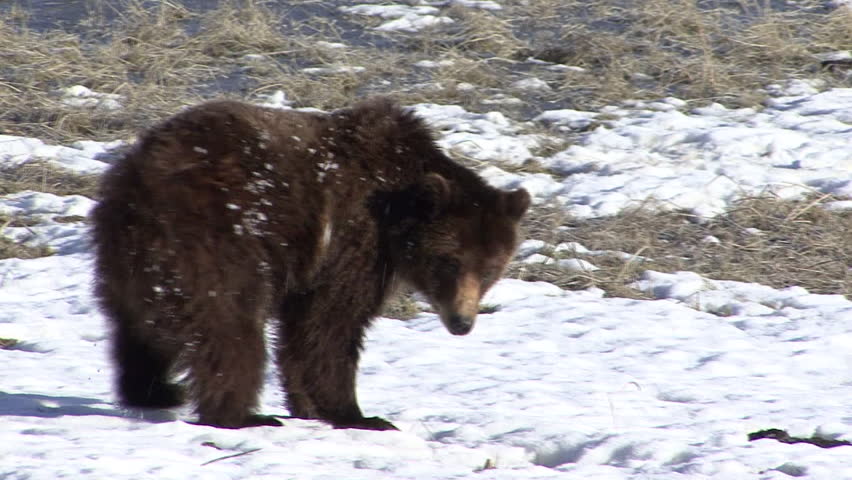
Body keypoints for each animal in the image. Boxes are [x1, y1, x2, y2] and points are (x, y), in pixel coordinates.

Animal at [91, 97, 530, 430]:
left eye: (489, 269)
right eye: (449, 262)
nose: (462, 322)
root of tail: (140, 182)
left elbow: (304, 329)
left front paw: (308, 406)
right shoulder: (354, 241)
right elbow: (331, 324)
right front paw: (358, 414)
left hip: (125, 253)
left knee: (136, 326)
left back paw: (153, 389)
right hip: (214, 236)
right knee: (230, 323)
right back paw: (241, 415)